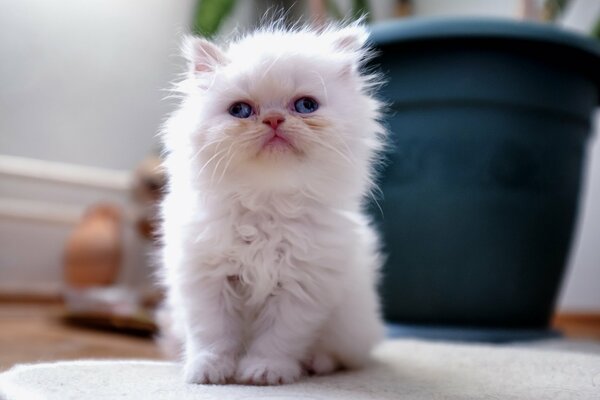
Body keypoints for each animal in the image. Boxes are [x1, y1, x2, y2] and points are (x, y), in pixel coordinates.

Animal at [158, 21, 384, 384]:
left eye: (305, 106)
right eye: (240, 111)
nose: (275, 119)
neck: (266, 205)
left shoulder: (301, 286)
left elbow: (279, 338)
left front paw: (264, 372)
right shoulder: (207, 280)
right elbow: (213, 335)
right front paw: (209, 371)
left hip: (350, 326)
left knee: (342, 356)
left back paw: (316, 363)